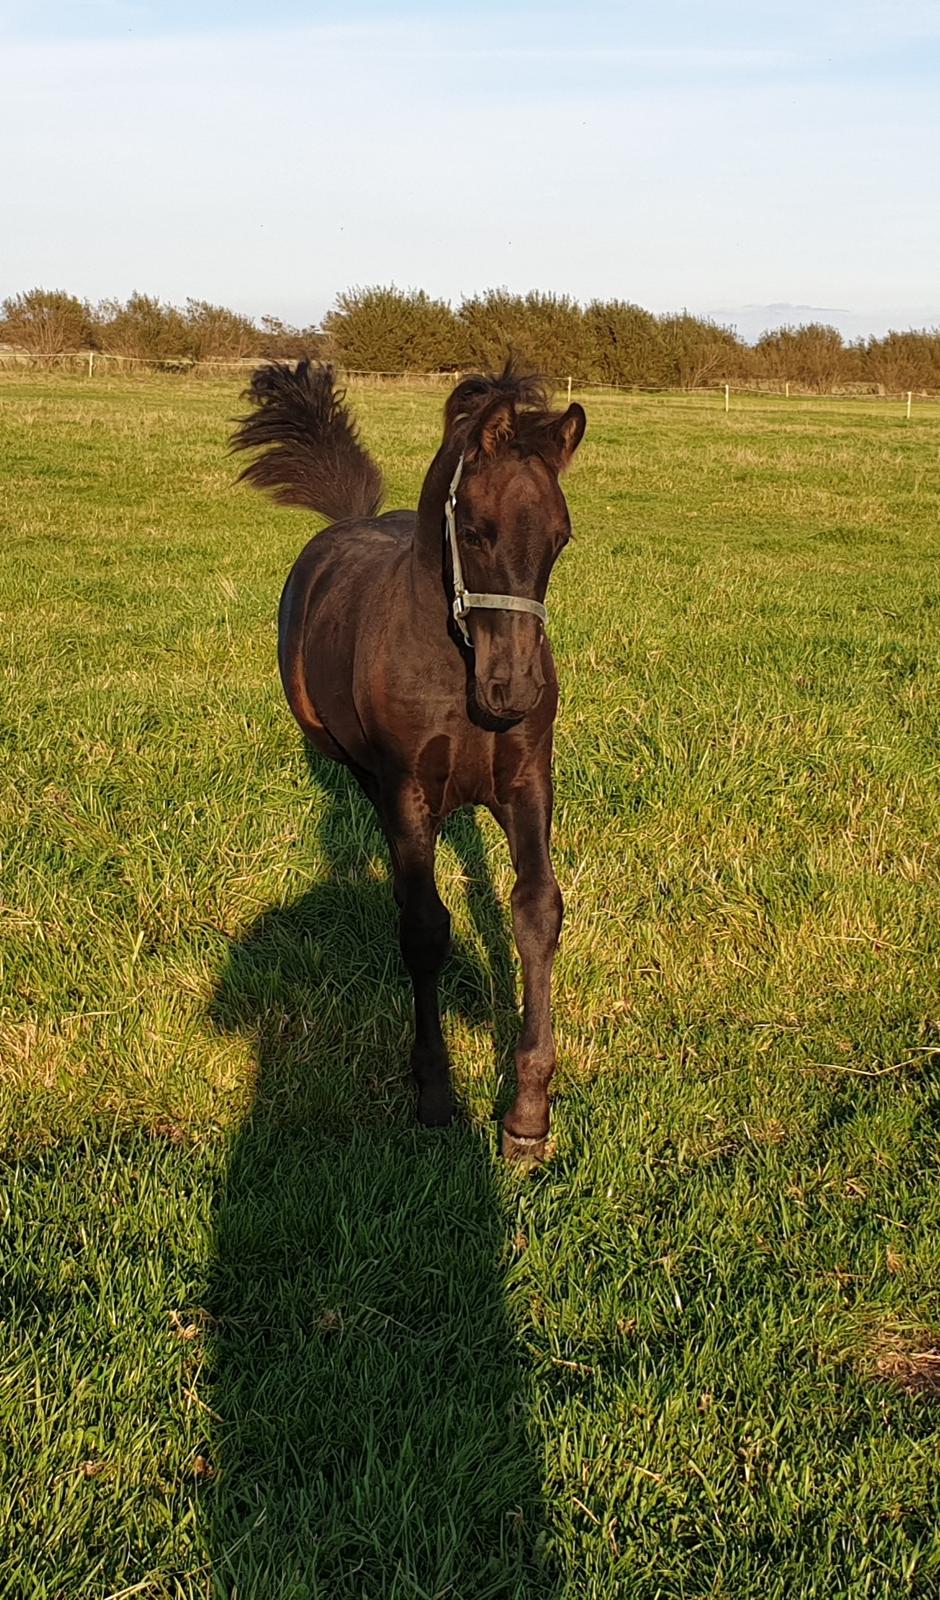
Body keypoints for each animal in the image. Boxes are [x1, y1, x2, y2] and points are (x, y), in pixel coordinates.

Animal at [231, 363, 585, 1164]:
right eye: (477, 531)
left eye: (561, 538)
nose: (514, 691)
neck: (456, 670)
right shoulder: (407, 790)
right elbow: (424, 928)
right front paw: (433, 1091)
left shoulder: (527, 782)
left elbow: (535, 912)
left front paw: (527, 1114)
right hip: (360, 771)